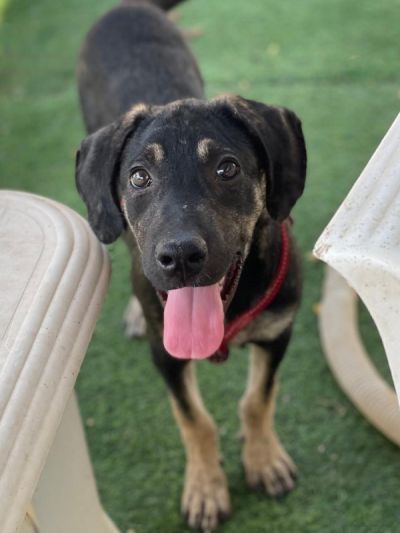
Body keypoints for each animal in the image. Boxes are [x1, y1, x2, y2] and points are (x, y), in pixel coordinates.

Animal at [75, 0, 307, 530]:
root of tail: (126, 8)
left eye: (228, 168)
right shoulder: (166, 356)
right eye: (139, 177)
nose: (180, 256)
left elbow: (258, 399)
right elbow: (193, 420)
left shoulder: (278, 331)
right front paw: (205, 488)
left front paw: (264, 460)